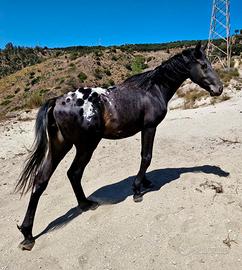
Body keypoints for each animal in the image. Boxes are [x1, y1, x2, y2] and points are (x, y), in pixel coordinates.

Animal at [14, 42, 223, 251]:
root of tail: (56, 101)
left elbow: (144, 156)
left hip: (61, 146)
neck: (152, 89)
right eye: (204, 65)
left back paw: (31, 232)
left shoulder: (145, 129)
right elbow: (146, 157)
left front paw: (145, 182)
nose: (219, 88)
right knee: (73, 173)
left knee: (43, 179)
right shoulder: (149, 127)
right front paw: (137, 190)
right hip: (85, 146)